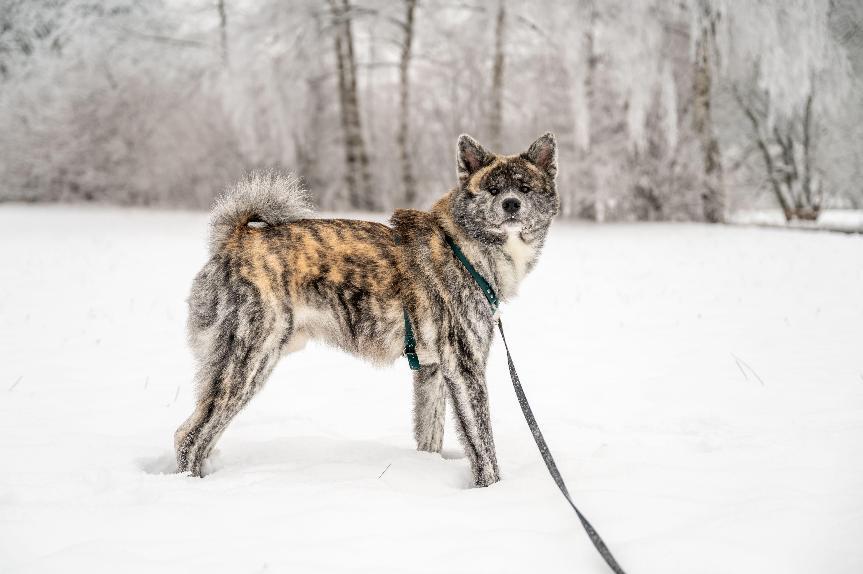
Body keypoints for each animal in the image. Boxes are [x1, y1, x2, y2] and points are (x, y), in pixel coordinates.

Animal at [177, 133, 560, 488]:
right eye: (493, 190)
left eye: (524, 188)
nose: (511, 204)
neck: (465, 247)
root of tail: (236, 240)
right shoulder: (465, 367)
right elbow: (482, 445)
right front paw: (491, 491)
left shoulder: (433, 370)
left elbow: (430, 433)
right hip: (248, 360)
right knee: (190, 436)